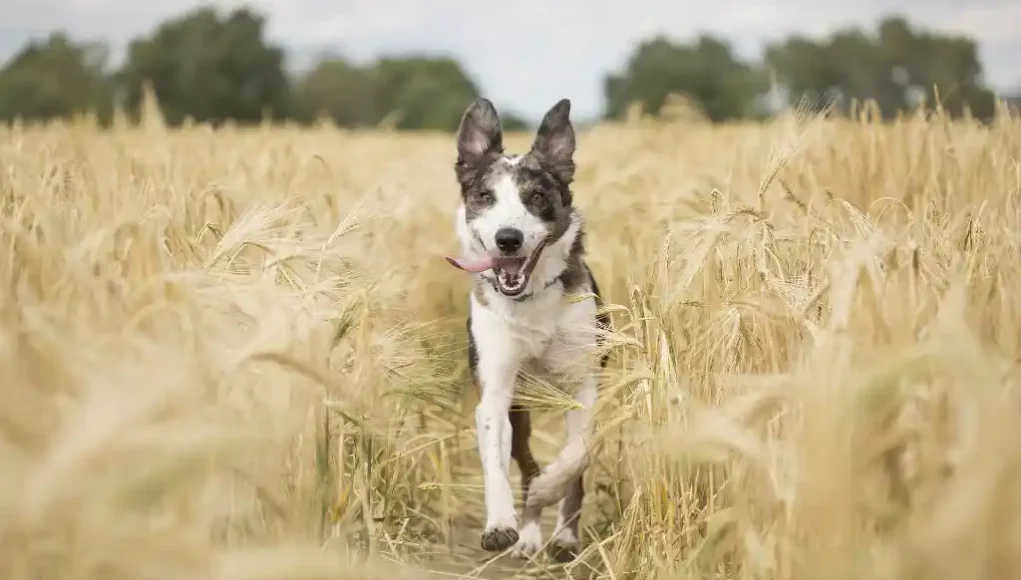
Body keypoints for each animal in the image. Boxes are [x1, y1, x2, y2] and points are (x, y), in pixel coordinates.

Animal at [445, 96, 604, 563]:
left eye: (536, 197)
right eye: (485, 196)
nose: (508, 239)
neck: (530, 299)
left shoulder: (584, 385)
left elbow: (575, 457)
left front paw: (550, 493)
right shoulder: (497, 393)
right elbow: (496, 463)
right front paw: (501, 525)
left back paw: (563, 535)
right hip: (522, 407)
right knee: (524, 461)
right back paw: (529, 534)